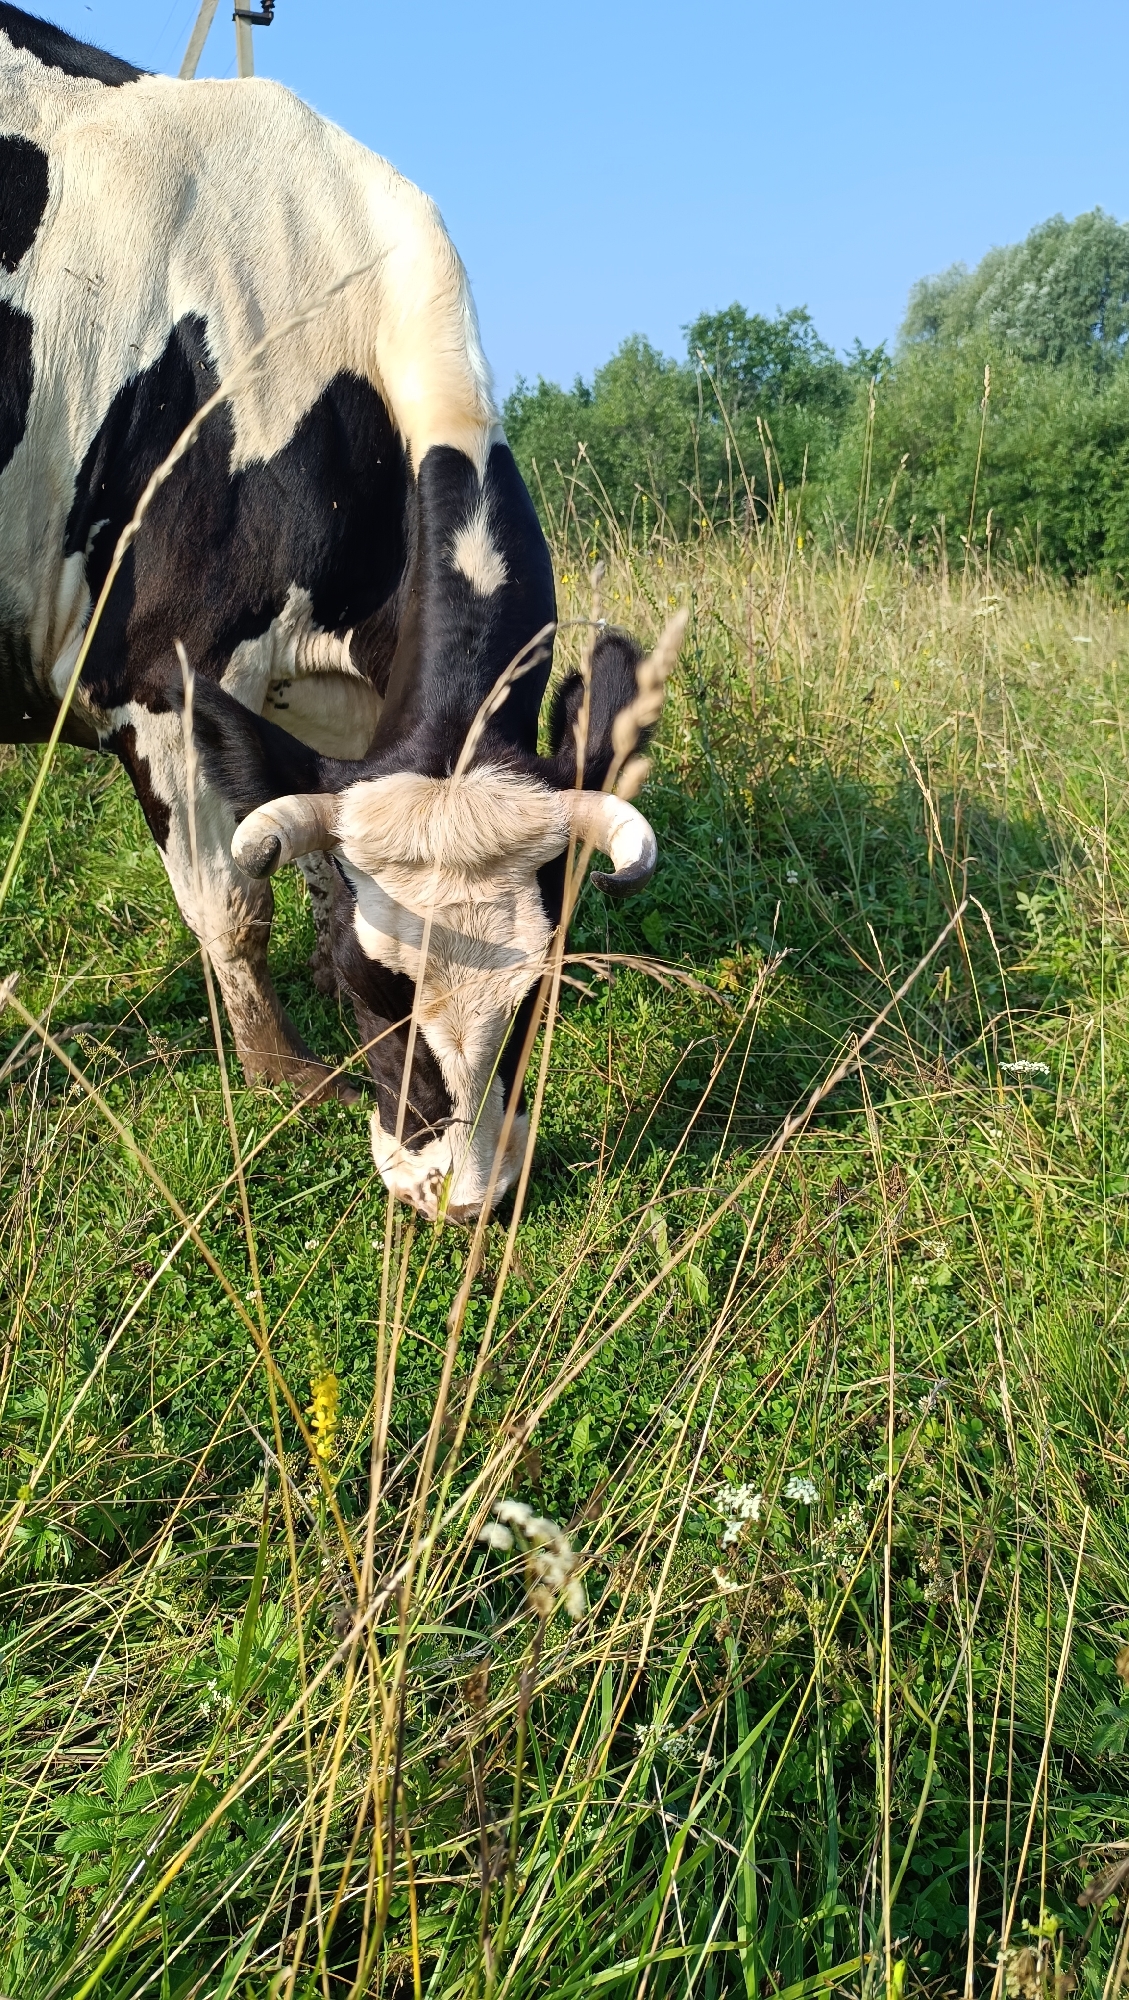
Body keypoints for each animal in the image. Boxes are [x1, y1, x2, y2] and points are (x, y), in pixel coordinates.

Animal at [0, 6, 678, 1220]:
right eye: (383, 985)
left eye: (539, 990)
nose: (463, 1198)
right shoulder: (161, 675)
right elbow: (233, 903)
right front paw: (285, 1077)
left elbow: (313, 859)